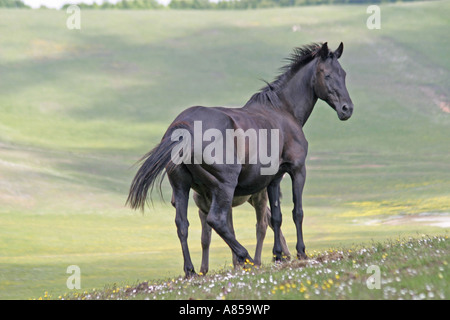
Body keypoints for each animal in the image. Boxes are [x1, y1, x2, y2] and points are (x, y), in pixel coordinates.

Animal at [126, 42, 352, 278]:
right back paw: (247, 258)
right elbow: (297, 212)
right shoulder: (298, 169)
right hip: (224, 186)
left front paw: (278, 256)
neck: (282, 110)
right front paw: (301, 252)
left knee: (182, 224)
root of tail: (183, 126)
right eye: (327, 74)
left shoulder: (274, 178)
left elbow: (276, 217)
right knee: (216, 221)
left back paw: (191, 270)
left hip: (182, 187)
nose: (347, 109)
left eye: (343, 74)